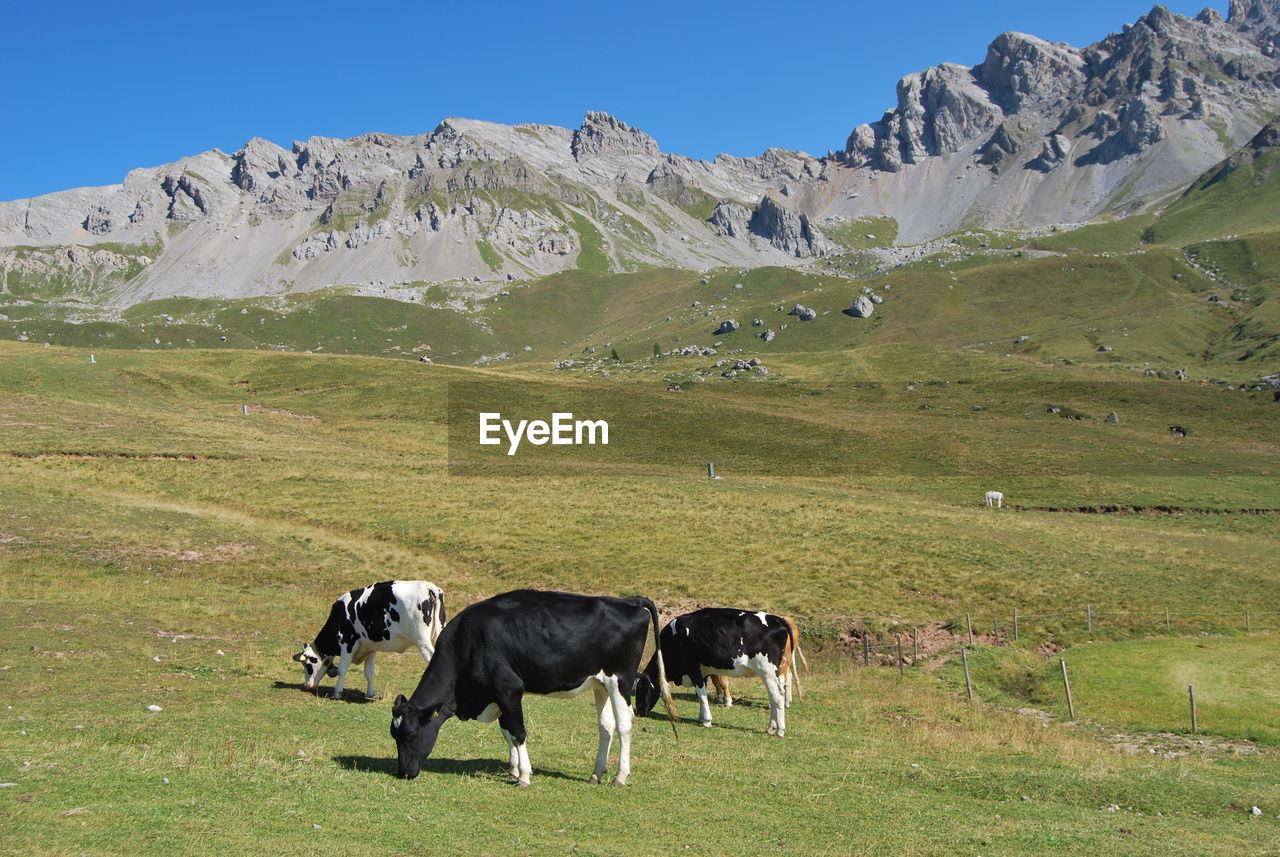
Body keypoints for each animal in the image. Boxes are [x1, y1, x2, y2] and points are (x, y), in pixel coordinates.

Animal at [291, 580, 445, 700]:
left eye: (308, 665)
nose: (307, 685)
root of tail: (428, 586)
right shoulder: (370, 647)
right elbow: (369, 673)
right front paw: (370, 694)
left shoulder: (347, 643)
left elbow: (342, 669)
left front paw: (337, 693)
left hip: (423, 642)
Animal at [386, 593, 675, 787]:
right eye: (394, 735)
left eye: (410, 735)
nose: (403, 772)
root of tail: (630, 601)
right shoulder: (497, 695)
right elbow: (507, 731)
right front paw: (513, 769)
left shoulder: (509, 688)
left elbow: (518, 732)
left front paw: (523, 775)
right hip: (600, 683)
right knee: (606, 726)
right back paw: (596, 773)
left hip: (621, 680)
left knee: (625, 724)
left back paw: (620, 776)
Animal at [632, 611, 798, 736]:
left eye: (641, 690)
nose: (639, 712)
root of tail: (778, 619)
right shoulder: (703, 672)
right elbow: (701, 694)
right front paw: (701, 718)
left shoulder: (693, 668)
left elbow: (701, 694)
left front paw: (706, 720)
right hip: (773, 673)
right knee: (775, 696)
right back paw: (771, 727)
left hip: (767, 671)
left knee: (777, 698)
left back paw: (780, 730)